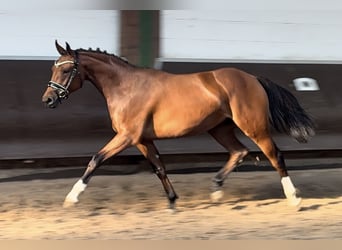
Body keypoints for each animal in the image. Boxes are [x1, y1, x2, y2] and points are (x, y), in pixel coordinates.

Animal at [41, 41, 314, 209]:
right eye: (54, 69)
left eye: (66, 70)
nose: (48, 99)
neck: (126, 87)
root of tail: (253, 78)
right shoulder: (143, 140)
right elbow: (159, 168)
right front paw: (172, 201)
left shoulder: (127, 137)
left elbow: (96, 159)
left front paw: (72, 197)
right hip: (220, 128)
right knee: (239, 151)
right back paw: (216, 190)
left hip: (253, 127)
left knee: (275, 155)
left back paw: (294, 198)